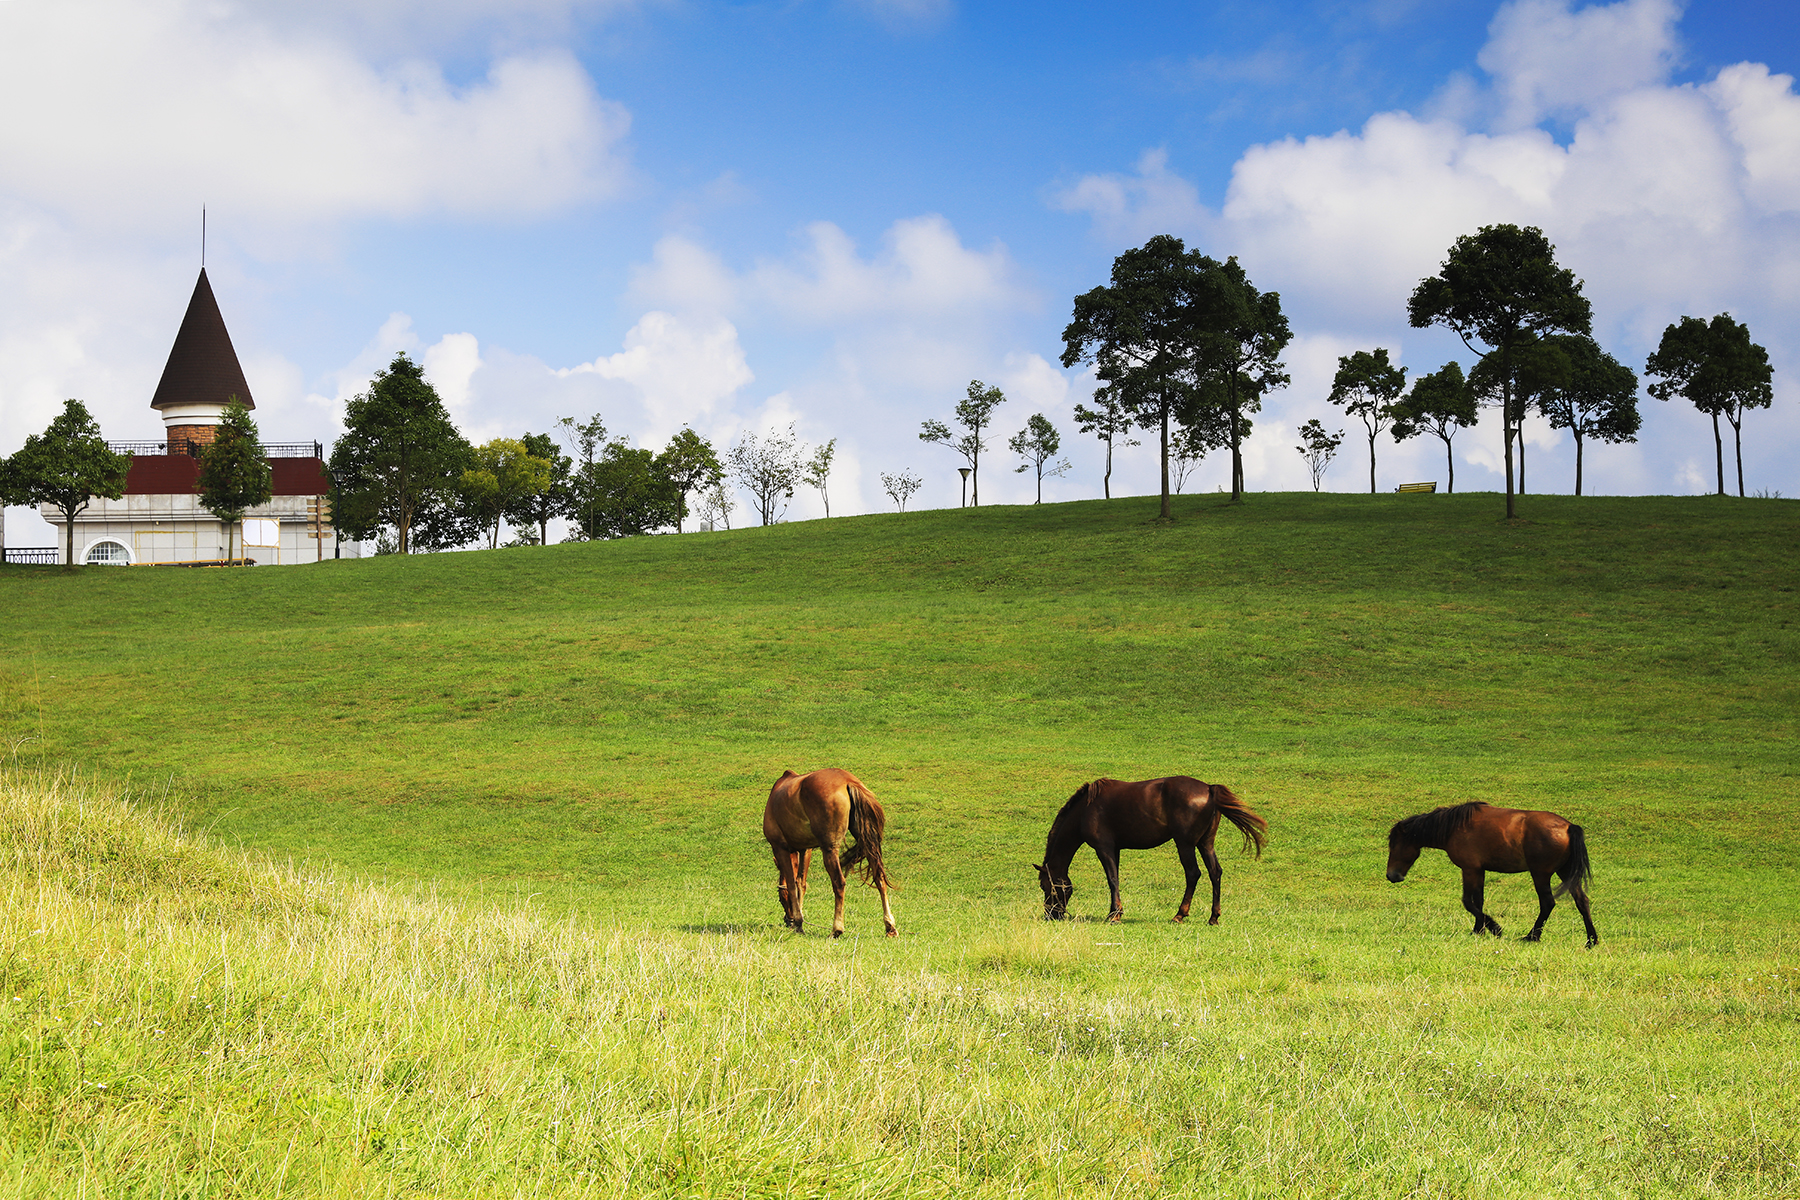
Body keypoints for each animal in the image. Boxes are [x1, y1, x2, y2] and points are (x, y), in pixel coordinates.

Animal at [763, 770, 896, 935]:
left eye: (781, 899)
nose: (788, 921)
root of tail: (848, 781)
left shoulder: (780, 848)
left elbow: (793, 885)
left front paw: (798, 922)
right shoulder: (805, 850)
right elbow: (801, 883)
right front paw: (799, 922)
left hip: (830, 850)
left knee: (839, 882)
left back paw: (836, 929)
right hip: (868, 844)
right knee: (879, 878)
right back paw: (890, 926)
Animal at [1036, 780, 1274, 928]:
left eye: (1045, 885)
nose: (1050, 914)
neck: (1086, 808)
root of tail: (1208, 788)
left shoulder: (1104, 848)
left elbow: (1112, 880)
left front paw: (1114, 915)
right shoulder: (1115, 849)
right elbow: (1116, 878)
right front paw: (1116, 912)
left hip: (1185, 844)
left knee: (1193, 874)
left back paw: (1179, 914)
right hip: (1205, 844)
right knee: (1215, 873)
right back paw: (1213, 917)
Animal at [1382, 805, 1598, 949]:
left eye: (1395, 844)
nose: (1392, 875)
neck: (1454, 827)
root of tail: (1569, 826)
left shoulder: (1469, 869)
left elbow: (1468, 902)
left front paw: (1494, 928)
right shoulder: (1479, 870)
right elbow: (1478, 901)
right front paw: (1479, 930)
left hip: (1540, 874)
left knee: (1547, 903)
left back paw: (1532, 936)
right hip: (1565, 873)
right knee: (1582, 901)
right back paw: (1591, 940)